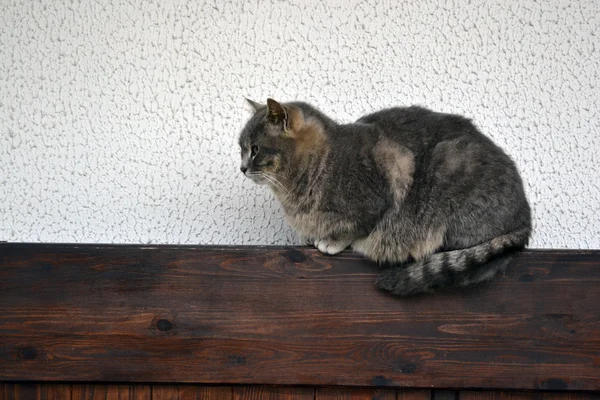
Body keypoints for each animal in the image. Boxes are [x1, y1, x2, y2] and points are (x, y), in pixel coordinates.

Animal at [237, 98, 532, 296]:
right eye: (241, 149)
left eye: (255, 149)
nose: (241, 168)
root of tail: (525, 220)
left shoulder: (391, 173)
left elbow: (355, 227)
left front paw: (333, 241)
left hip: (449, 165)